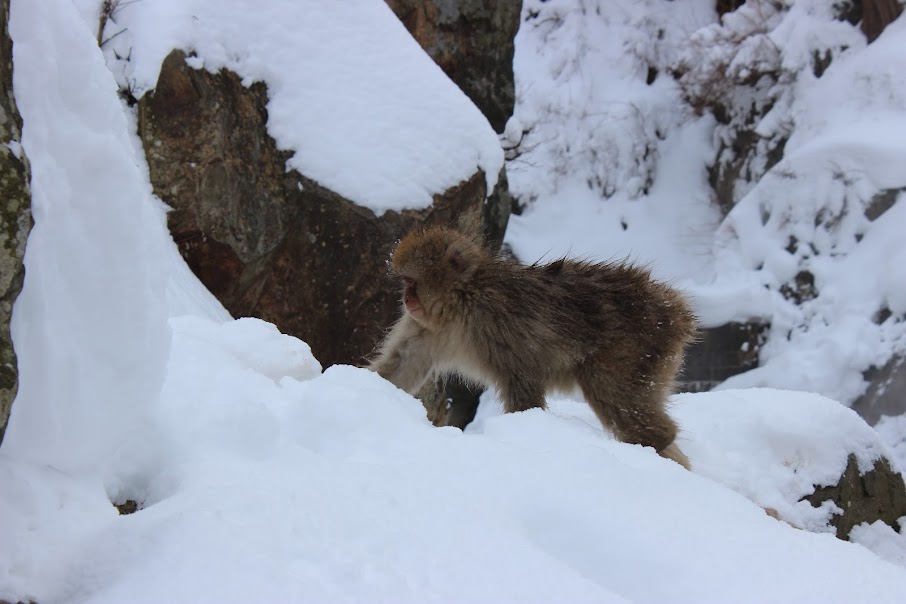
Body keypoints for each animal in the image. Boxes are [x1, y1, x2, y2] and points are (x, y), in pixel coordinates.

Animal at [368, 226, 692, 468]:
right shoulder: (424, 326)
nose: (406, 298)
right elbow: (401, 365)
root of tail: (676, 311)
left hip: (639, 346)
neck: (462, 301)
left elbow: (522, 381)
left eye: (412, 282)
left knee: (612, 392)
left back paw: (658, 442)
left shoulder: (496, 319)